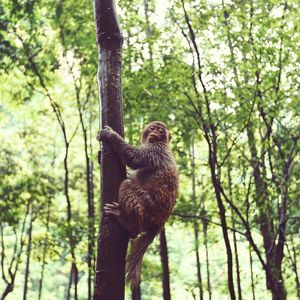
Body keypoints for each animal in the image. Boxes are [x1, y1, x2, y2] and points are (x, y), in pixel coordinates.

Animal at [97, 121, 178, 286]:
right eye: (153, 128)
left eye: (161, 131)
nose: (155, 132)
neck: (162, 143)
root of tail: (160, 222)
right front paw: (98, 157)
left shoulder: (155, 150)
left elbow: (134, 159)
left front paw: (110, 135)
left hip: (148, 208)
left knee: (127, 184)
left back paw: (128, 224)